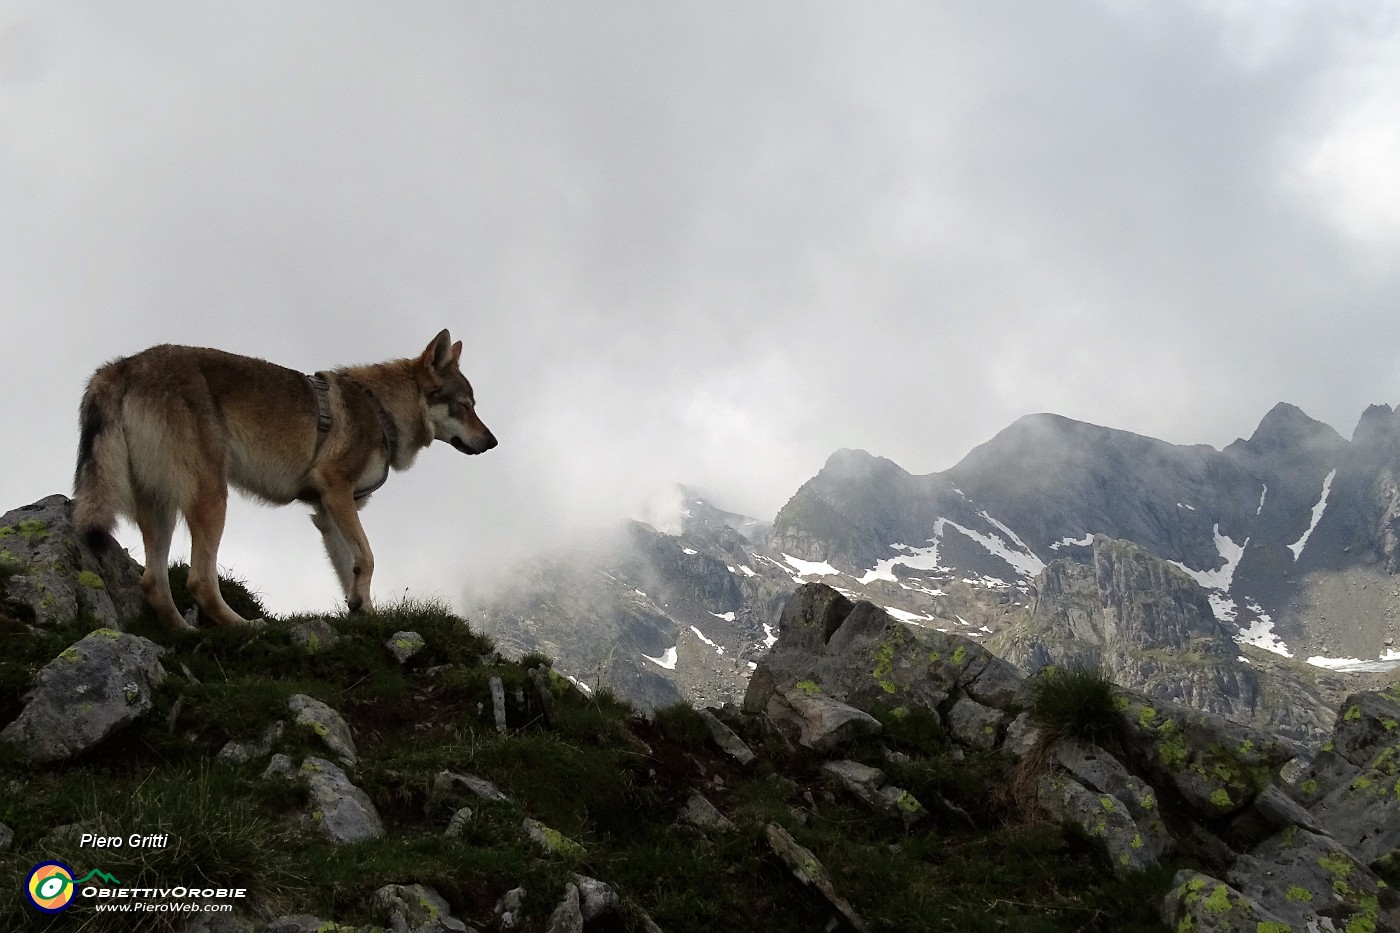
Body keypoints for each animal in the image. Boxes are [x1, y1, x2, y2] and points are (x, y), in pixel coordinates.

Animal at [73, 330, 498, 627]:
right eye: (465, 406)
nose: (493, 442)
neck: (382, 411)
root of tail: (123, 365)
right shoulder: (336, 491)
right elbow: (369, 558)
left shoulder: (328, 512)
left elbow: (350, 569)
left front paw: (364, 615)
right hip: (212, 499)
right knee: (199, 581)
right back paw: (245, 628)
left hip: (161, 508)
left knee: (154, 585)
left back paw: (185, 633)